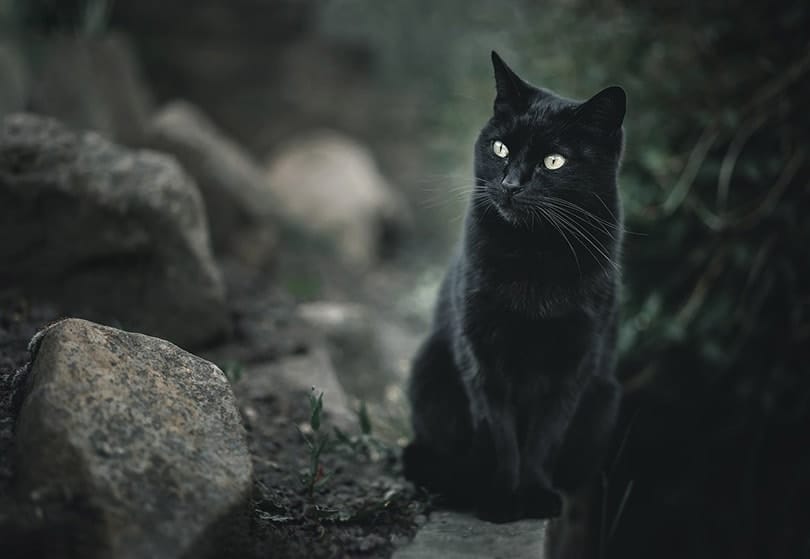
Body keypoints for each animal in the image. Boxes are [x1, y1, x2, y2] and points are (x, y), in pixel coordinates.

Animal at [404, 50, 624, 524]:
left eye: (553, 162)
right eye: (499, 147)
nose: (509, 184)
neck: (534, 257)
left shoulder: (574, 362)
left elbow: (544, 437)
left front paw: (535, 494)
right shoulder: (482, 355)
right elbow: (500, 434)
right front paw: (501, 498)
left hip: (605, 397)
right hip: (431, 371)